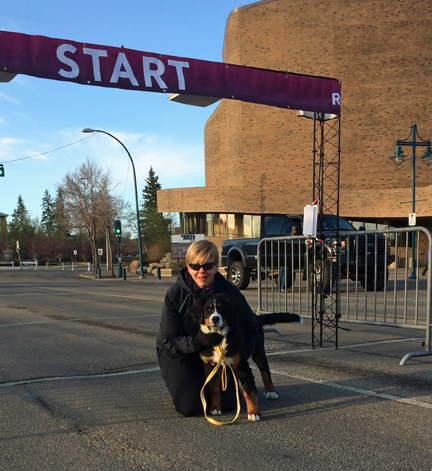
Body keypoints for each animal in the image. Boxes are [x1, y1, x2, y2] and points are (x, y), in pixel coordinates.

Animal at [191, 292, 302, 421]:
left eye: (221, 308)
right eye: (208, 309)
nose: (215, 318)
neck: (219, 337)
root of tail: (255, 316)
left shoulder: (242, 366)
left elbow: (248, 392)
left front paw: (253, 412)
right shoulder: (209, 366)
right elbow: (214, 389)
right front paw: (215, 408)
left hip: (259, 352)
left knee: (265, 371)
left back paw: (271, 392)